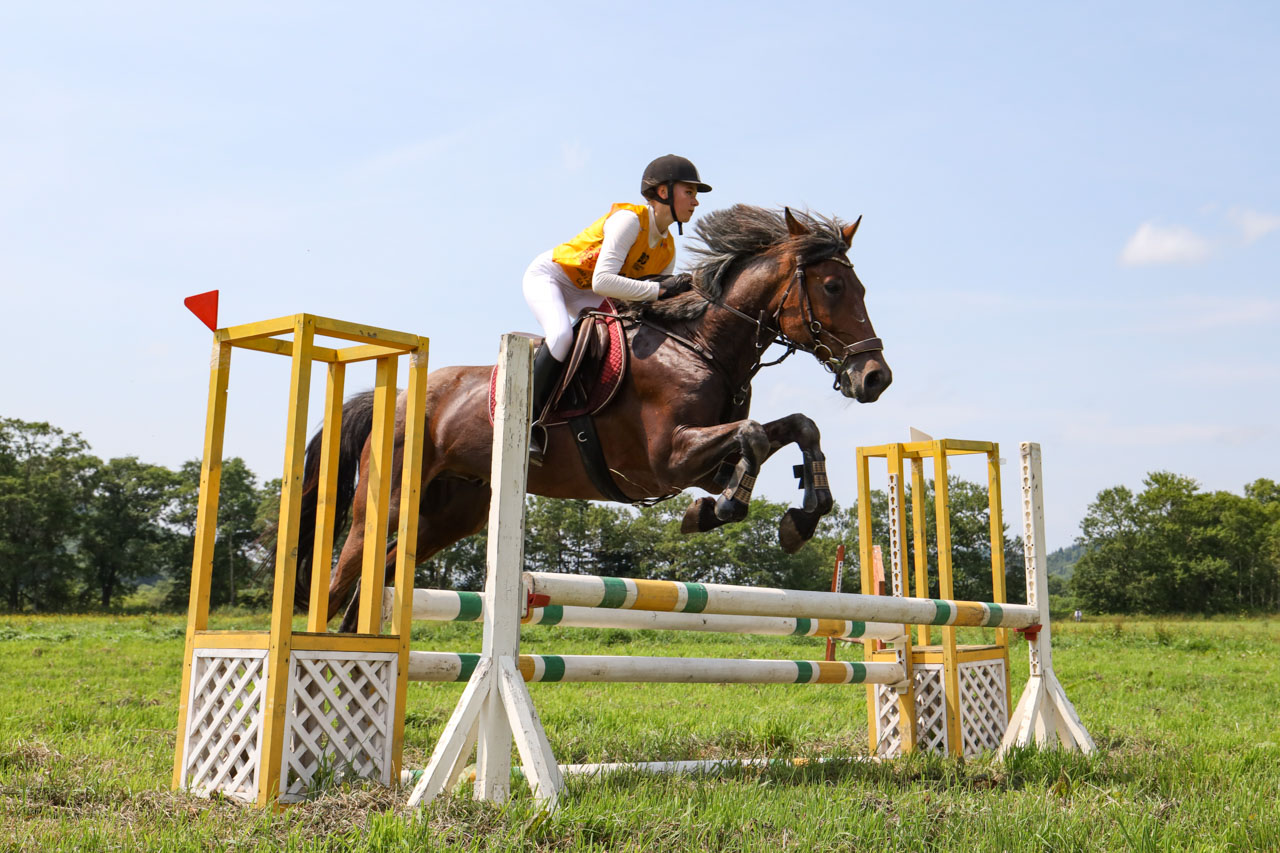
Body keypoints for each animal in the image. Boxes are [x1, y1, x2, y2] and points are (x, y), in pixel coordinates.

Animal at [293, 204, 890, 630]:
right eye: (833, 287)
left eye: (862, 288)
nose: (875, 378)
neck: (702, 347)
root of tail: (397, 398)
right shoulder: (667, 460)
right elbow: (755, 438)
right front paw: (719, 511)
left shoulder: (700, 465)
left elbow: (792, 429)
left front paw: (801, 516)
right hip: (386, 503)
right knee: (341, 577)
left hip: (452, 513)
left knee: (381, 576)